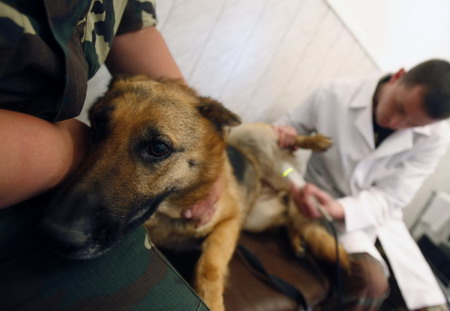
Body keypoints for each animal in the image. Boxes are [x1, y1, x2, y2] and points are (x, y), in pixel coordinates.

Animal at [42, 76, 350, 311]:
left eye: (158, 148)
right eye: (97, 126)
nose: (56, 234)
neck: (172, 212)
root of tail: (282, 182)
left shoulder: (229, 222)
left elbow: (210, 266)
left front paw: (211, 300)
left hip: (253, 139)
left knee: (284, 138)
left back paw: (315, 141)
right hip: (258, 218)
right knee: (289, 218)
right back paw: (297, 239)